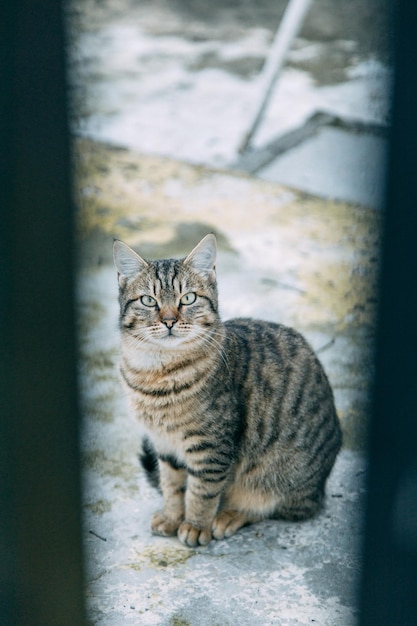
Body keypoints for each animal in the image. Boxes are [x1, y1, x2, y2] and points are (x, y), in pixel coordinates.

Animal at [113, 234, 342, 544]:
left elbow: (202, 491)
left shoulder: (210, 446)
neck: (157, 372)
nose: (169, 321)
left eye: (188, 298)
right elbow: (172, 487)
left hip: (278, 477)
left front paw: (196, 525)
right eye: (149, 300)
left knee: (276, 506)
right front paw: (173, 517)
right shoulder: (165, 446)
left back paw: (229, 516)